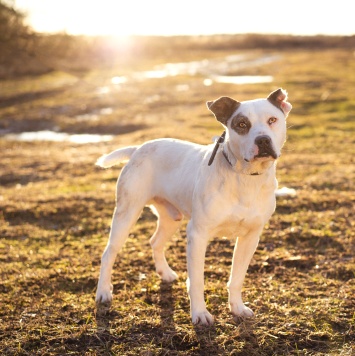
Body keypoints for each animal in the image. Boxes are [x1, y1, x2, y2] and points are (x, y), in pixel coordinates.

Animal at [94, 88, 292, 326]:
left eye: (272, 120)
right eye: (242, 124)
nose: (262, 140)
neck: (245, 177)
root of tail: (138, 148)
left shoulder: (250, 238)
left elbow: (237, 277)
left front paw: (237, 308)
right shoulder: (198, 235)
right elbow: (197, 281)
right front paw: (199, 314)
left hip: (171, 217)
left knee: (155, 241)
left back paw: (165, 273)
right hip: (127, 213)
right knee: (109, 253)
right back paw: (103, 292)